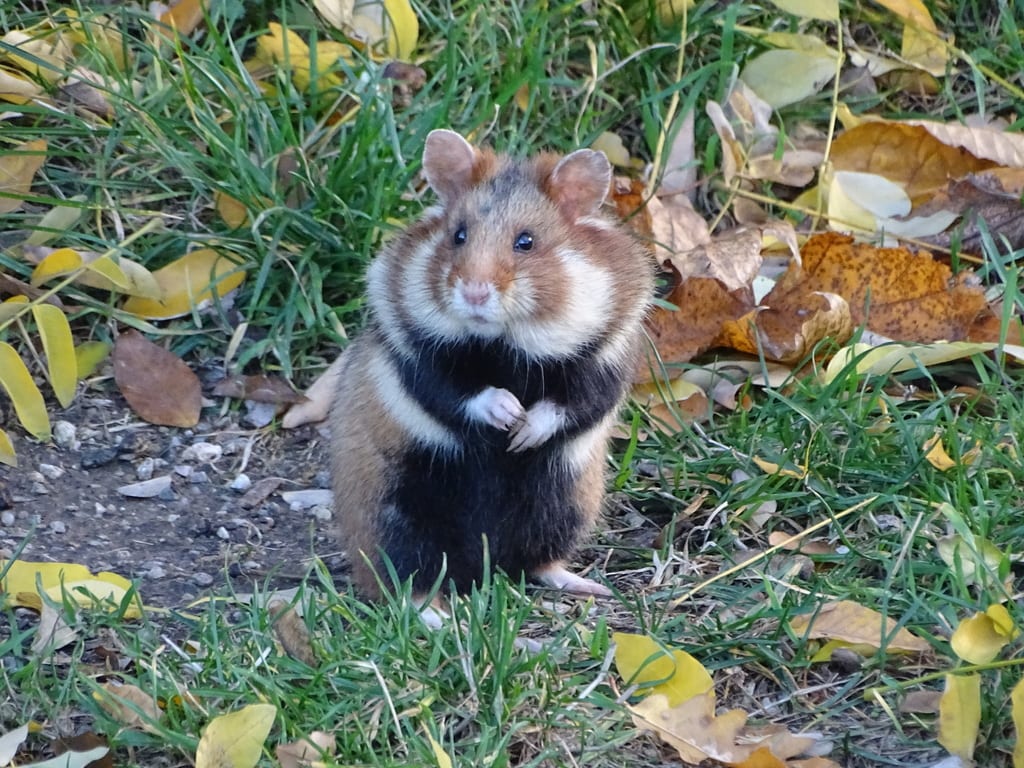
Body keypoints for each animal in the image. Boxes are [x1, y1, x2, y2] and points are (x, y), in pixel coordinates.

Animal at [329, 129, 654, 602]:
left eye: (527, 242)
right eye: (458, 236)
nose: (475, 293)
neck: (506, 339)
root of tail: (483, 567)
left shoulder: (607, 356)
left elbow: (572, 403)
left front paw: (521, 435)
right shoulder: (417, 352)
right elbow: (458, 391)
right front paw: (508, 414)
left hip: (565, 505)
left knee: (539, 561)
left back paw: (590, 587)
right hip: (395, 514)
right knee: (406, 579)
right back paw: (435, 612)